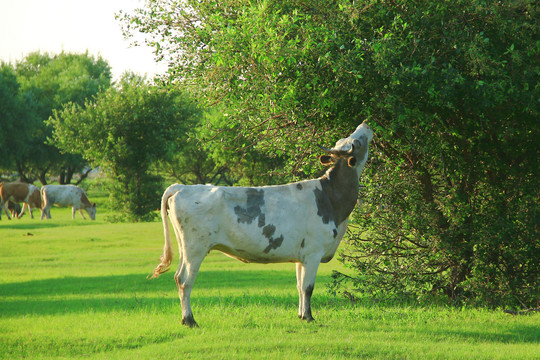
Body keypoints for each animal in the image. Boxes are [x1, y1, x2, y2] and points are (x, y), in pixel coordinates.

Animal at [150, 120, 374, 326]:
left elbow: (300, 286)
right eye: (357, 142)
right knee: (184, 280)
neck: (331, 198)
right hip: (195, 248)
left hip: (185, 247)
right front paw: (310, 317)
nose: (365, 123)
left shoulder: (301, 255)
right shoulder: (314, 252)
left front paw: (301, 315)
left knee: (178, 277)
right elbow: (308, 287)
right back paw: (190, 320)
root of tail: (182, 187)